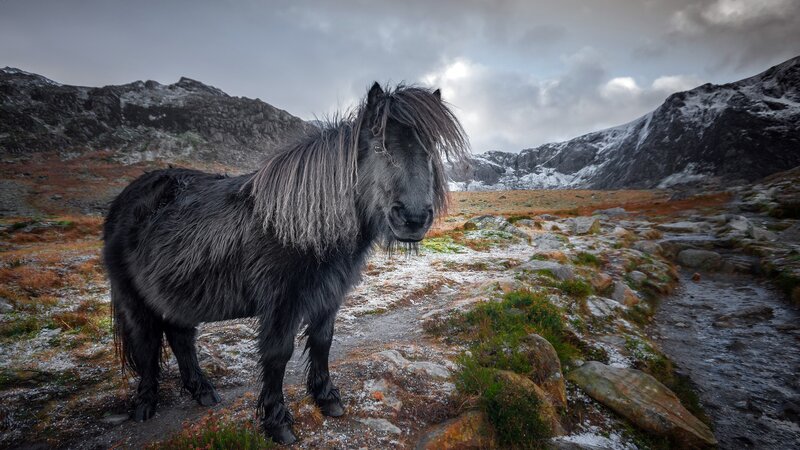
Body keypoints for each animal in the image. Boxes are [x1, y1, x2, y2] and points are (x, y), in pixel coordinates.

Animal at [102, 82, 469, 444]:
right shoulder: (282, 303)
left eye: (431, 149)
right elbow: (278, 355)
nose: (414, 217)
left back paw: (203, 392)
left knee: (180, 338)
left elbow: (322, 341)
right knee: (147, 345)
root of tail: (124, 199)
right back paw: (145, 405)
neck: (300, 222)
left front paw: (326, 398)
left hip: (176, 296)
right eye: (380, 145)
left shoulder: (328, 295)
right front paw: (277, 422)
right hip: (134, 300)